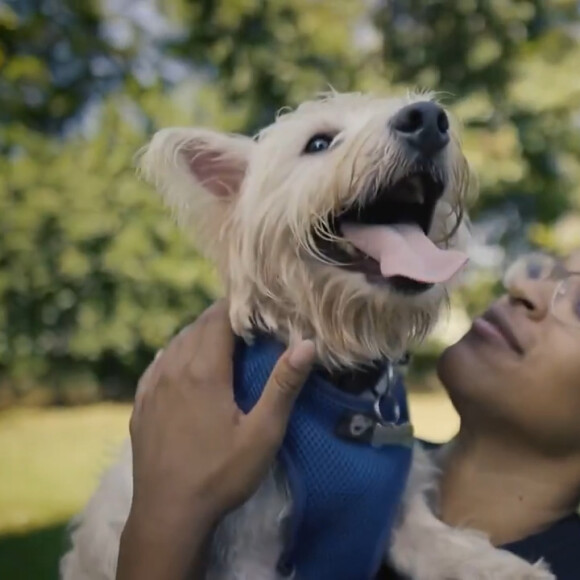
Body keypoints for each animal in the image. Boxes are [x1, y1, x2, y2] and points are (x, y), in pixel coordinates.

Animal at [60, 92, 552, 580]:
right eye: (318, 143)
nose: (429, 119)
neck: (340, 376)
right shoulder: (250, 551)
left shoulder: (396, 517)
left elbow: (456, 550)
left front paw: (517, 570)